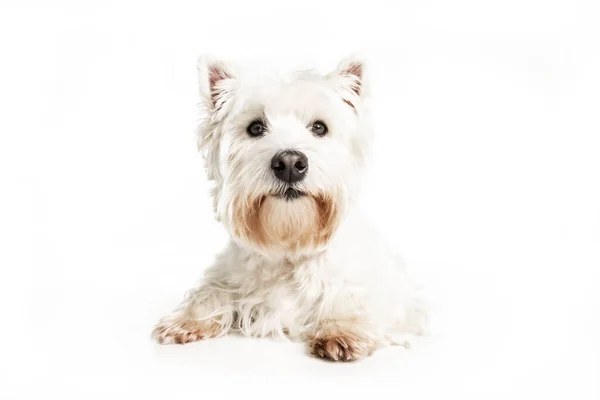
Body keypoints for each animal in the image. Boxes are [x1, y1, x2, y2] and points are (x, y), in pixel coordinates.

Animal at [154, 54, 426, 360]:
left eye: (320, 127)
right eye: (255, 128)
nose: (290, 163)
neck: (289, 242)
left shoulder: (390, 295)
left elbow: (355, 298)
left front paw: (342, 330)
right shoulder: (230, 275)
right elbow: (211, 291)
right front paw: (184, 321)